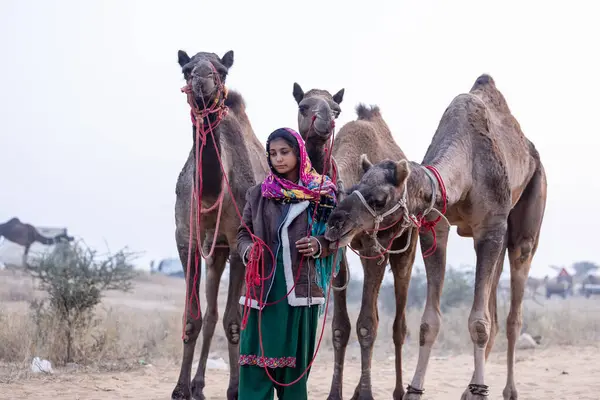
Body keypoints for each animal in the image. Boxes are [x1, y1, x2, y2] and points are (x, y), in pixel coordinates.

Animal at [172, 49, 268, 400]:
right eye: (186, 69)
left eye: (222, 70)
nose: (202, 80)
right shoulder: (186, 239)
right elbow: (194, 318)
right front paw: (181, 390)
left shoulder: (242, 243)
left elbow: (233, 321)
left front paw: (236, 390)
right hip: (216, 252)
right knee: (211, 314)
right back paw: (199, 386)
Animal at [292, 83, 414, 400]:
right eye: (303, 106)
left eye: (336, 109)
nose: (325, 122)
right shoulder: (339, 246)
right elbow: (341, 327)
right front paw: (336, 394)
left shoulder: (375, 247)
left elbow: (367, 326)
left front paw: (368, 394)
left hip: (405, 249)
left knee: (398, 323)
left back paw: (399, 390)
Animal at [326, 73, 548, 398]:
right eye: (354, 187)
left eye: (379, 199)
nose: (335, 222)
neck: (466, 167)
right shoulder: (435, 229)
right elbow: (430, 322)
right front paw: (414, 390)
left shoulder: (491, 226)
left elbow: (478, 323)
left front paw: (479, 391)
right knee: (494, 310)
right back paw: (469, 389)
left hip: (529, 209)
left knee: (513, 312)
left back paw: (507, 391)